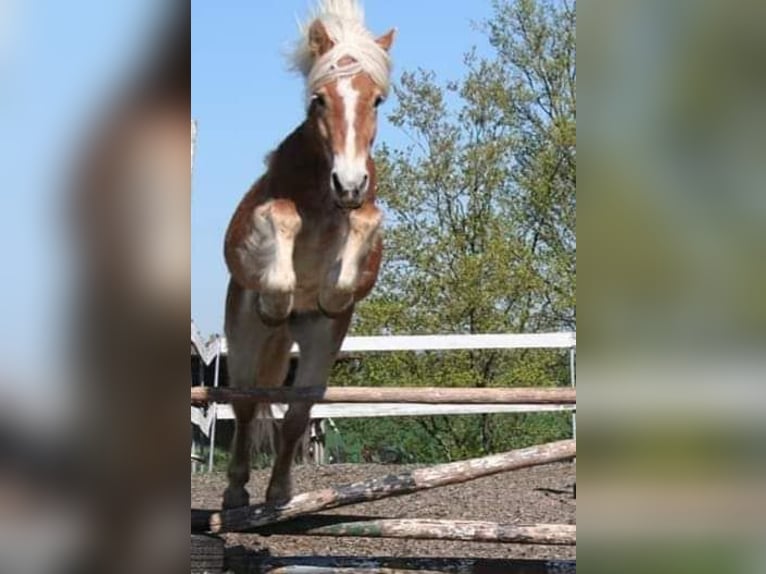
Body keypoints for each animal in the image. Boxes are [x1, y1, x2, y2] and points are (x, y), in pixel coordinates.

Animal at [222, 0, 396, 508]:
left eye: (376, 100)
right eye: (319, 99)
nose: (349, 183)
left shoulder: (363, 227)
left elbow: (364, 226)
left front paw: (330, 293)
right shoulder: (255, 225)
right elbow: (283, 216)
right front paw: (277, 298)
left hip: (318, 345)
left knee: (296, 413)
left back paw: (280, 492)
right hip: (243, 338)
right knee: (245, 405)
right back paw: (236, 492)